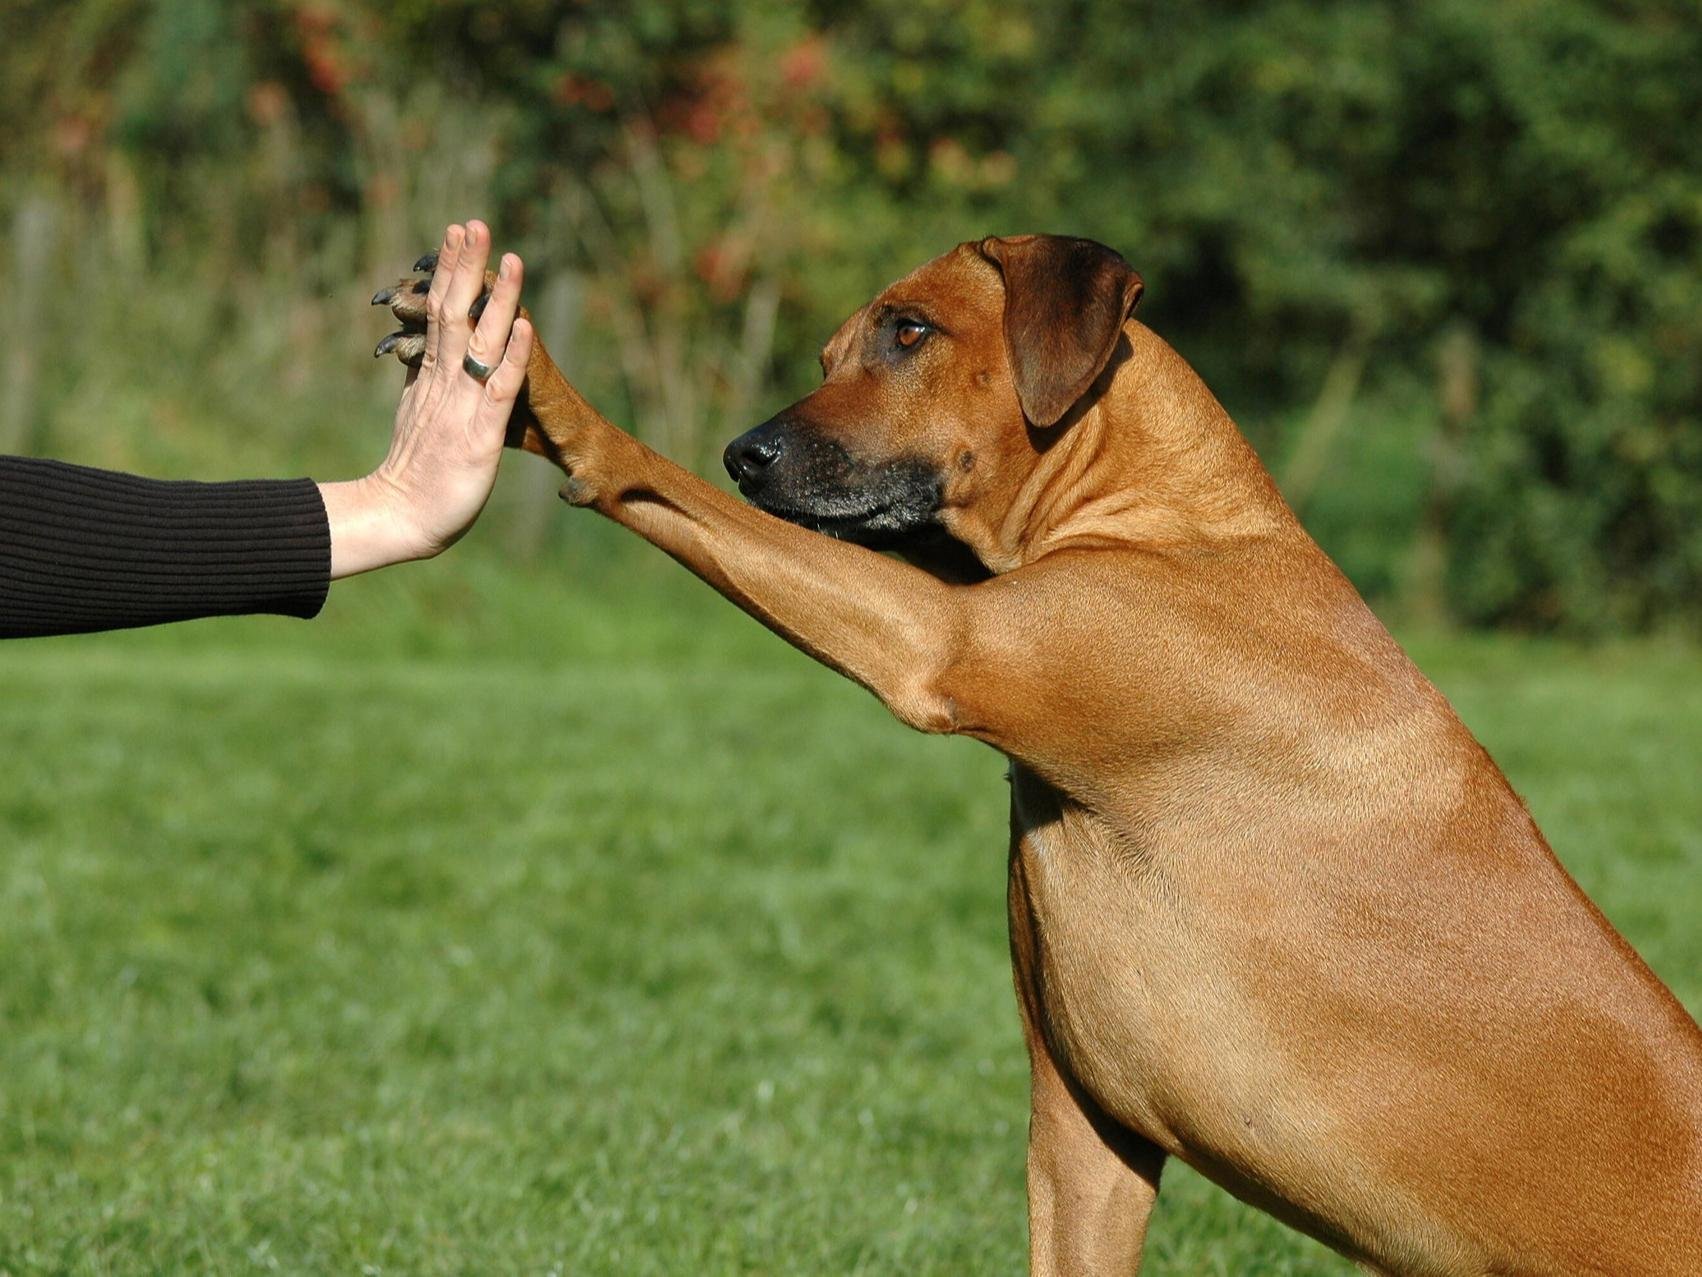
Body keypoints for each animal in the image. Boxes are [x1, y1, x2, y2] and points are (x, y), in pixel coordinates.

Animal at [382, 234, 1702, 1273]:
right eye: (828, 354)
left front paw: (540, 393)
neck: (1168, 521)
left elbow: (648, 477)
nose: (744, 453)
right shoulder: (1086, 1125)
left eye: (910, 330)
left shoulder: (940, 642)